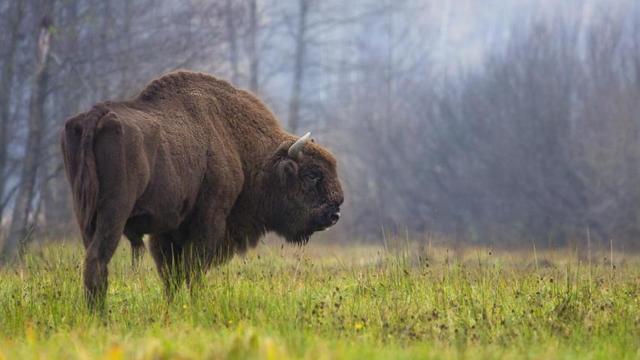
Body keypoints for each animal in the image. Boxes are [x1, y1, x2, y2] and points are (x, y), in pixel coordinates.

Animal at [62, 71, 344, 306]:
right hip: (114, 212)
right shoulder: (208, 221)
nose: (334, 212)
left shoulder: (167, 231)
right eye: (311, 174)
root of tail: (95, 116)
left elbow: (172, 275)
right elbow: (192, 269)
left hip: (85, 215)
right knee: (98, 259)